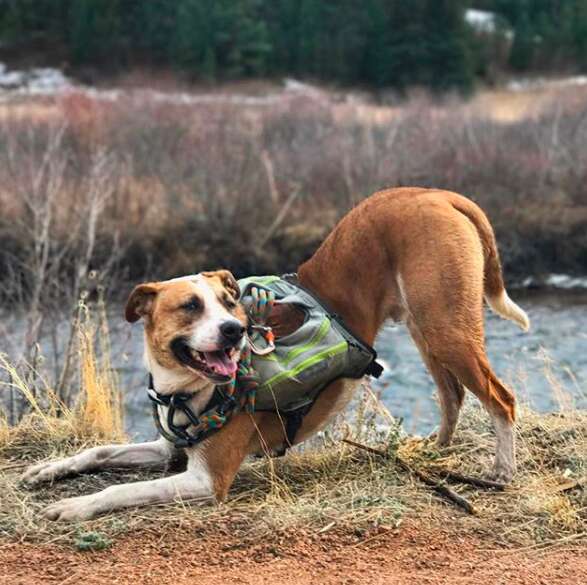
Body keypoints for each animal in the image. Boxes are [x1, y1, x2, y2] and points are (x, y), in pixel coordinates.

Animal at [23, 188, 532, 520]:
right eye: (190, 306)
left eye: (229, 302)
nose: (234, 331)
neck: (185, 392)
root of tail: (440, 194)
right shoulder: (166, 449)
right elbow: (98, 451)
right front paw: (49, 469)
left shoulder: (205, 481)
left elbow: (120, 491)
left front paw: (75, 504)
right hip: (425, 330)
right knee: (453, 395)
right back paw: (433, 450)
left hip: (446, 328)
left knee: (500, 399)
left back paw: (503, 471)